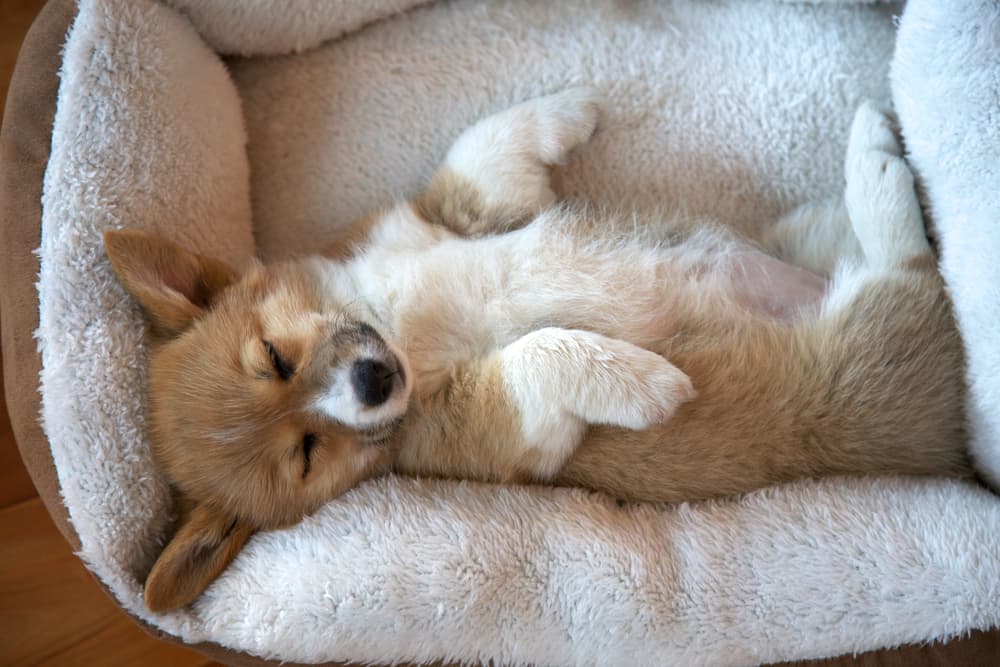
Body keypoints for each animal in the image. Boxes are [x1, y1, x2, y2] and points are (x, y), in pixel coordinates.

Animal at [105, 90, 972, 616]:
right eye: (308, 455)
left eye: (272, 356)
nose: (374, 378)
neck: (399, 326)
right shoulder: (501, 422)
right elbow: (541, 350)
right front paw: (642, 380)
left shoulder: (449, 212)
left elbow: (485, 147)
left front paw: (571, 108)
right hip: (869, 332)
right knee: (909, 258)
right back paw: (874, 150)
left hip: (806, 240)